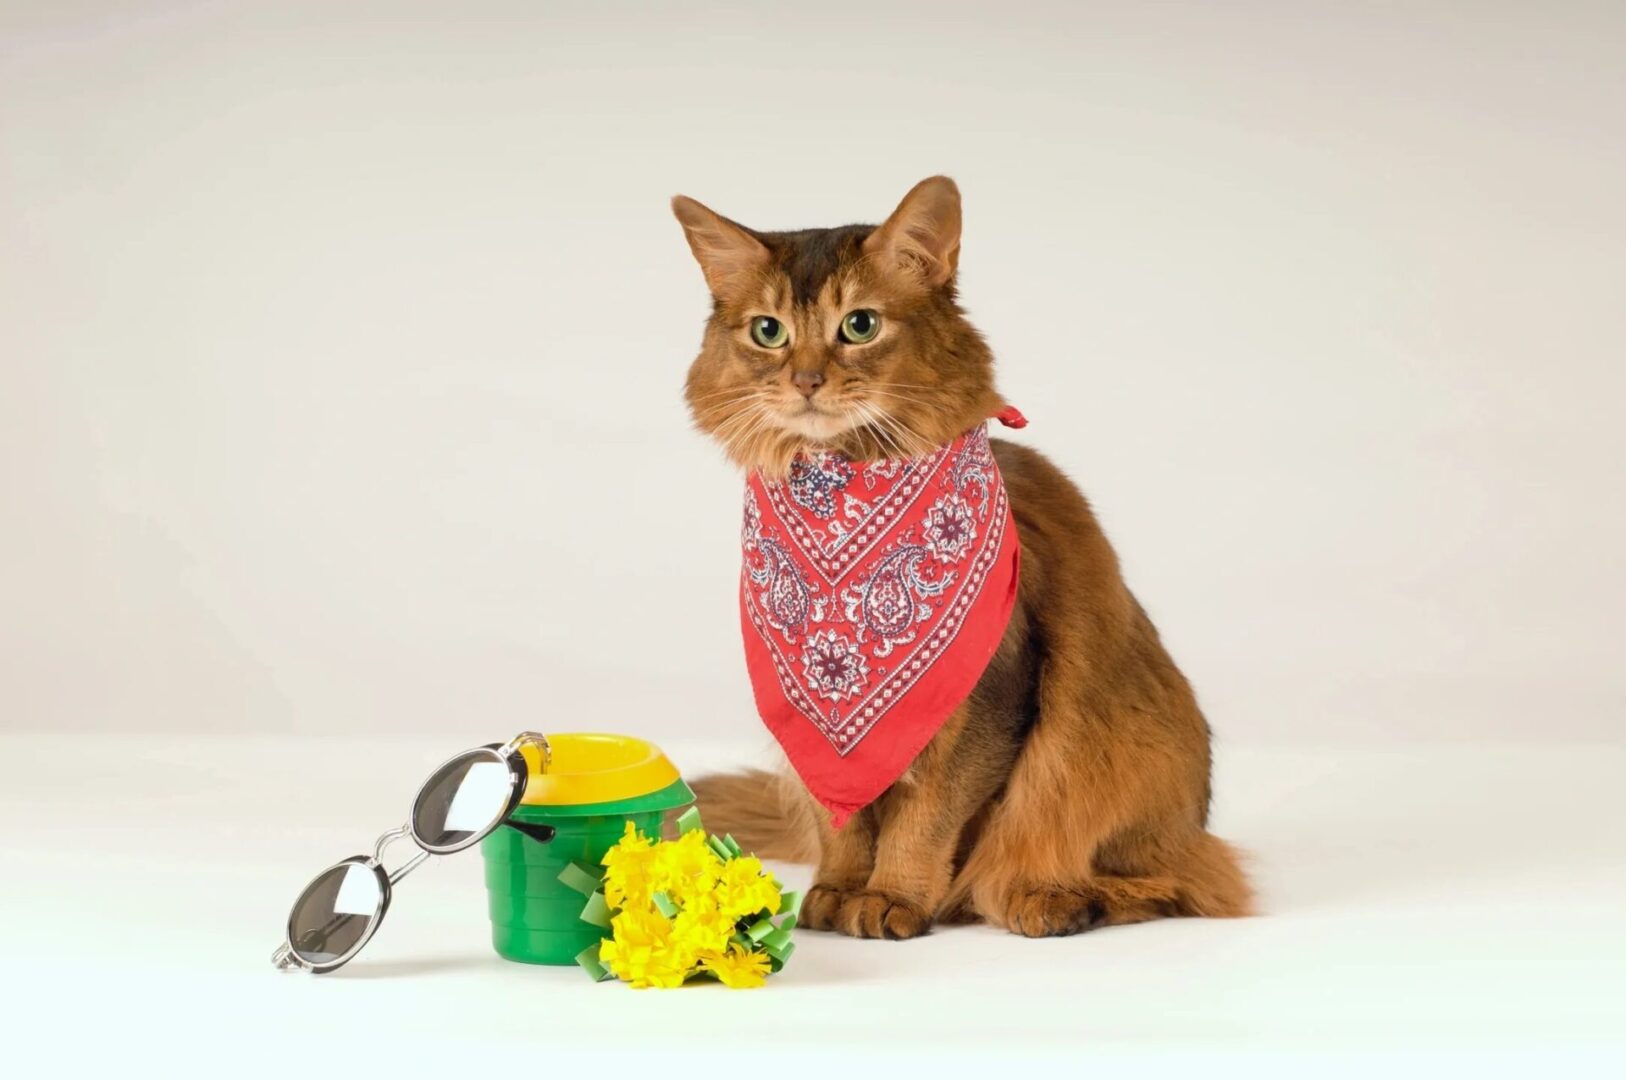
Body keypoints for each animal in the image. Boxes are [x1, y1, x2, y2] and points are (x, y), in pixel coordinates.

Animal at [666, 178, 1248, 936]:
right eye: (769, 331)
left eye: (860, 325)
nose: (807, 379)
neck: (841, 494)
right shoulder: (811, 724)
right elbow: (840, 818)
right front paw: (838, 888)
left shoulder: (991, 696)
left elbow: (929, 817)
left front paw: (895, 897)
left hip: (1130, 743)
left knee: (1191, 881)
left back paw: (1056, 899)